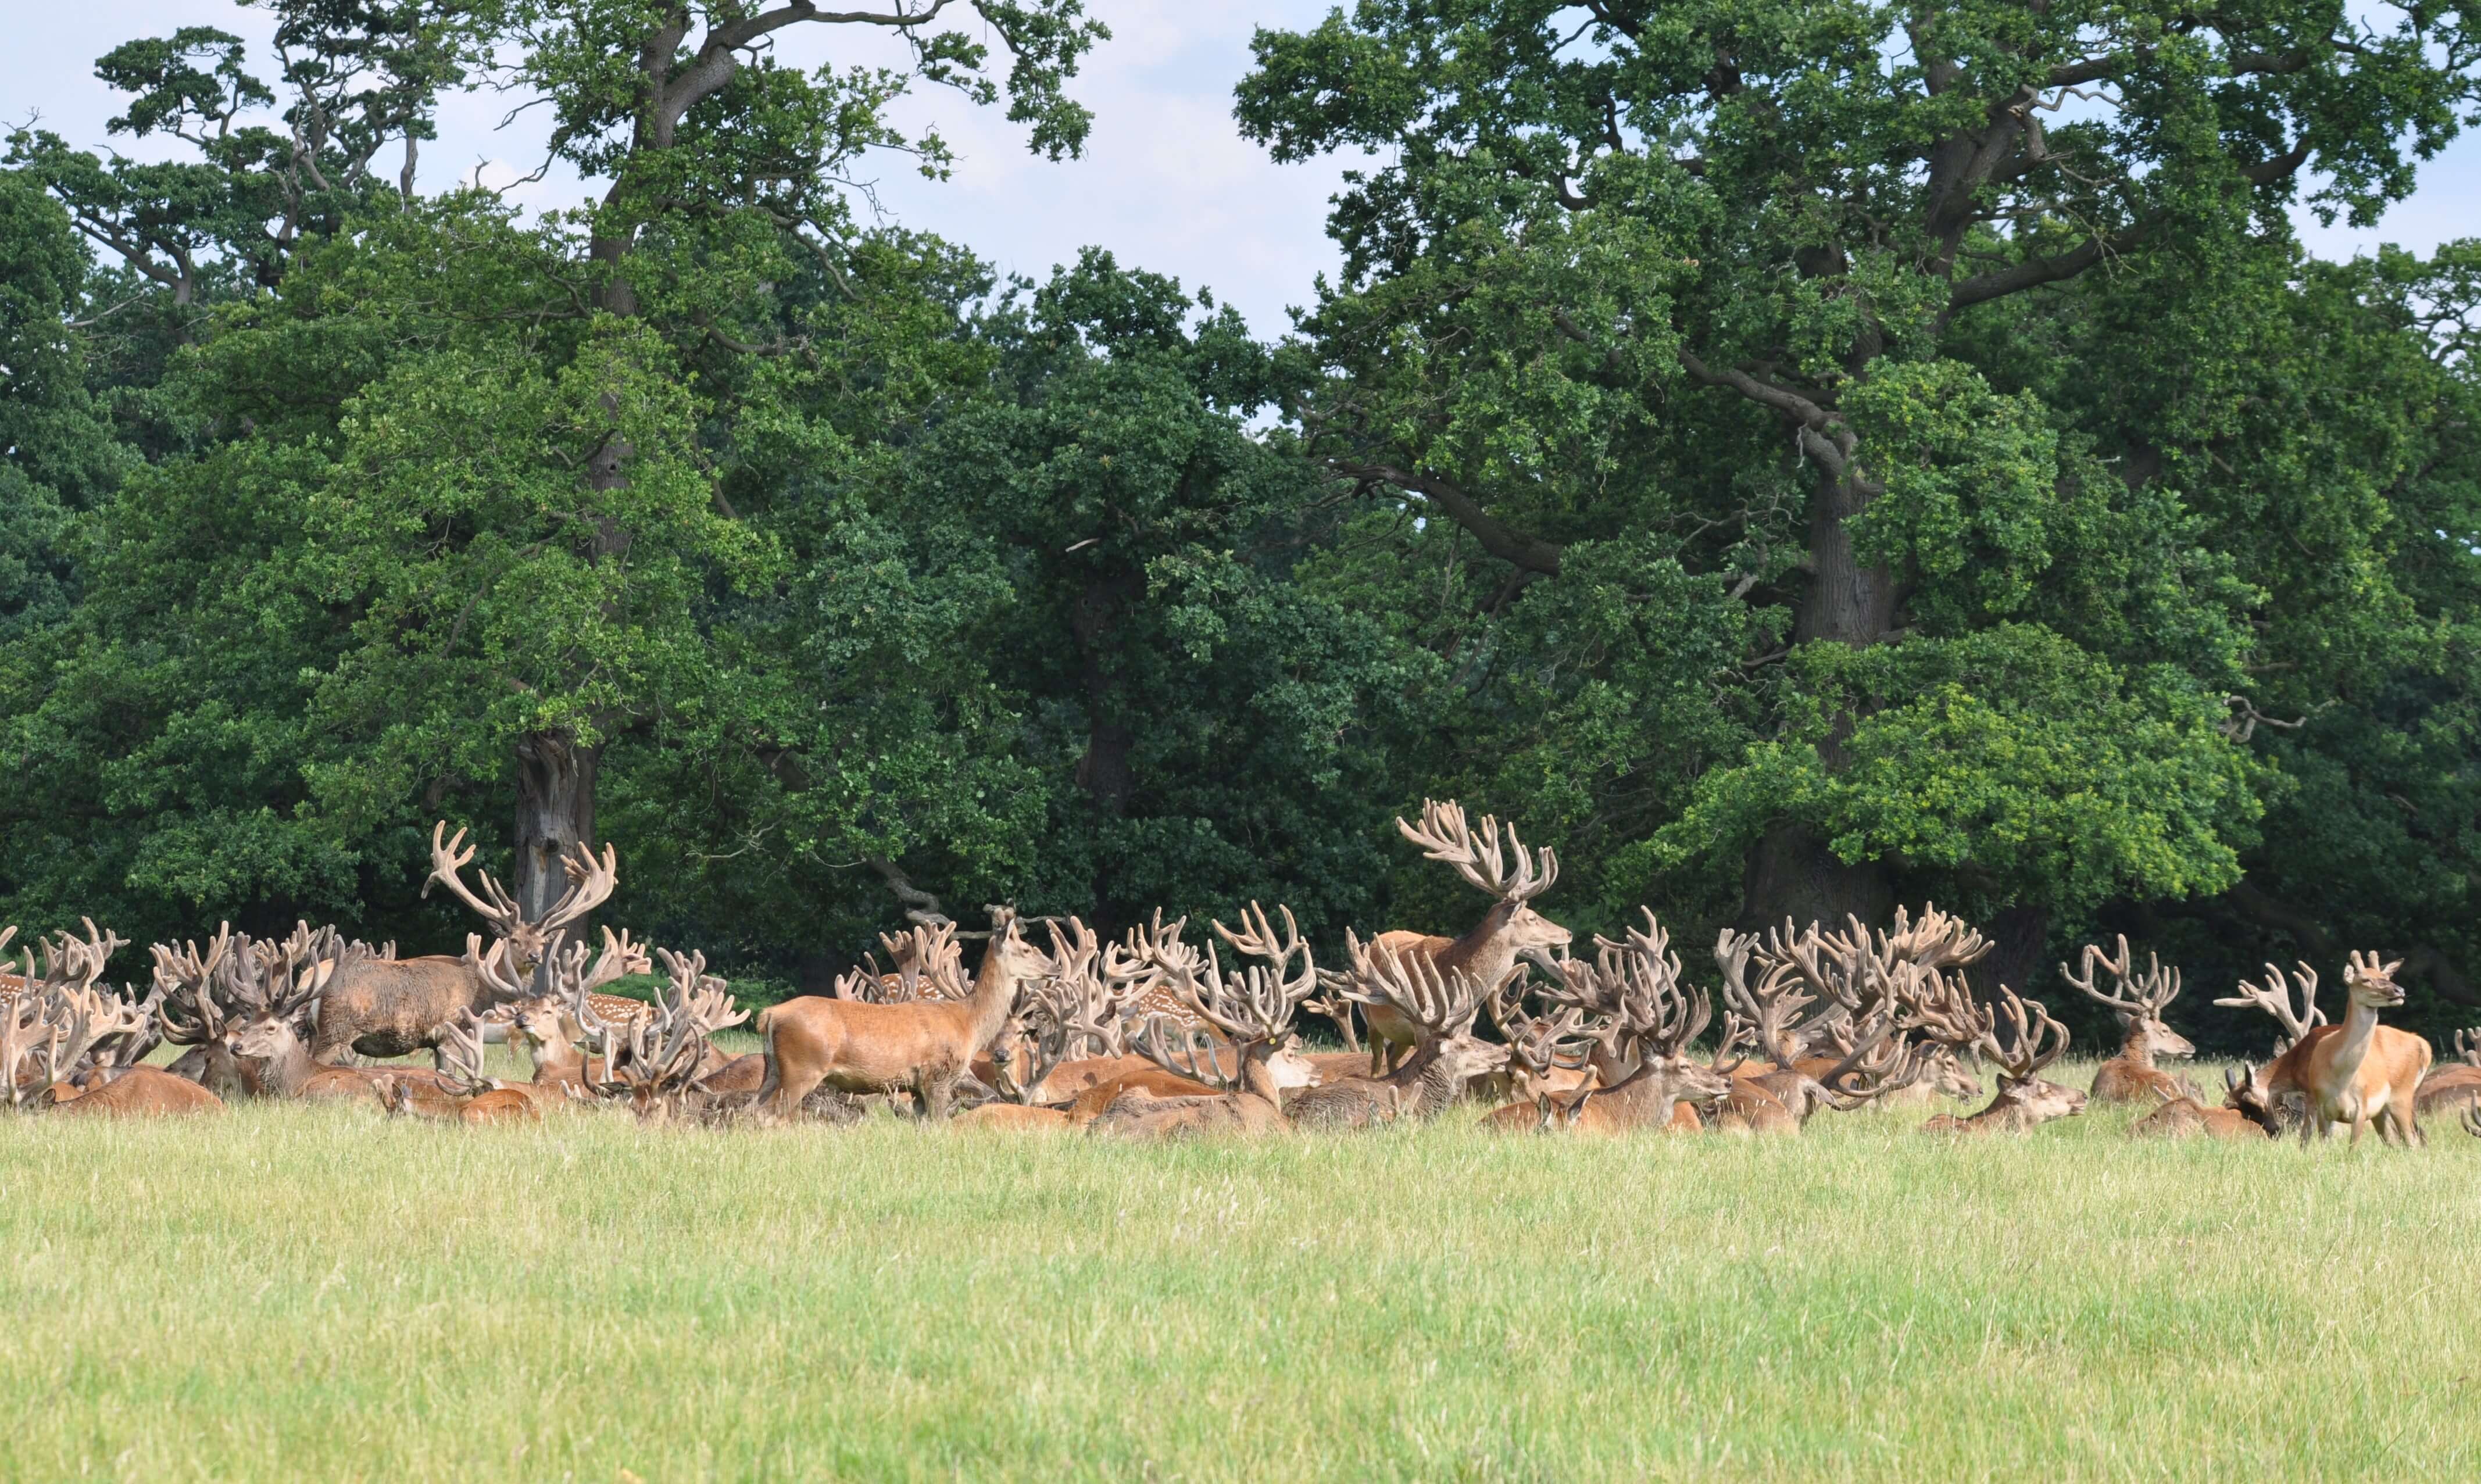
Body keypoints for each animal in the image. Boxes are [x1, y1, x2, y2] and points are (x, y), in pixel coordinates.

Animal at [1349, 799, 1578, 1077]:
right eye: (1532, 918)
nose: (1567, 933)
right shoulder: (1424, 1023)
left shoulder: (1465, 1025)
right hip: (1372, 1018)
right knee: (1377, 1061)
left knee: (1393, 1057)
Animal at [2223, 953, 2431, 1151]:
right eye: (2235, 1105)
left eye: (2252, 1102)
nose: (2275, 1131)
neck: (2296, 1063)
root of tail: (2423, 1046)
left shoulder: (2312, 1093)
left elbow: (2307, 1135)